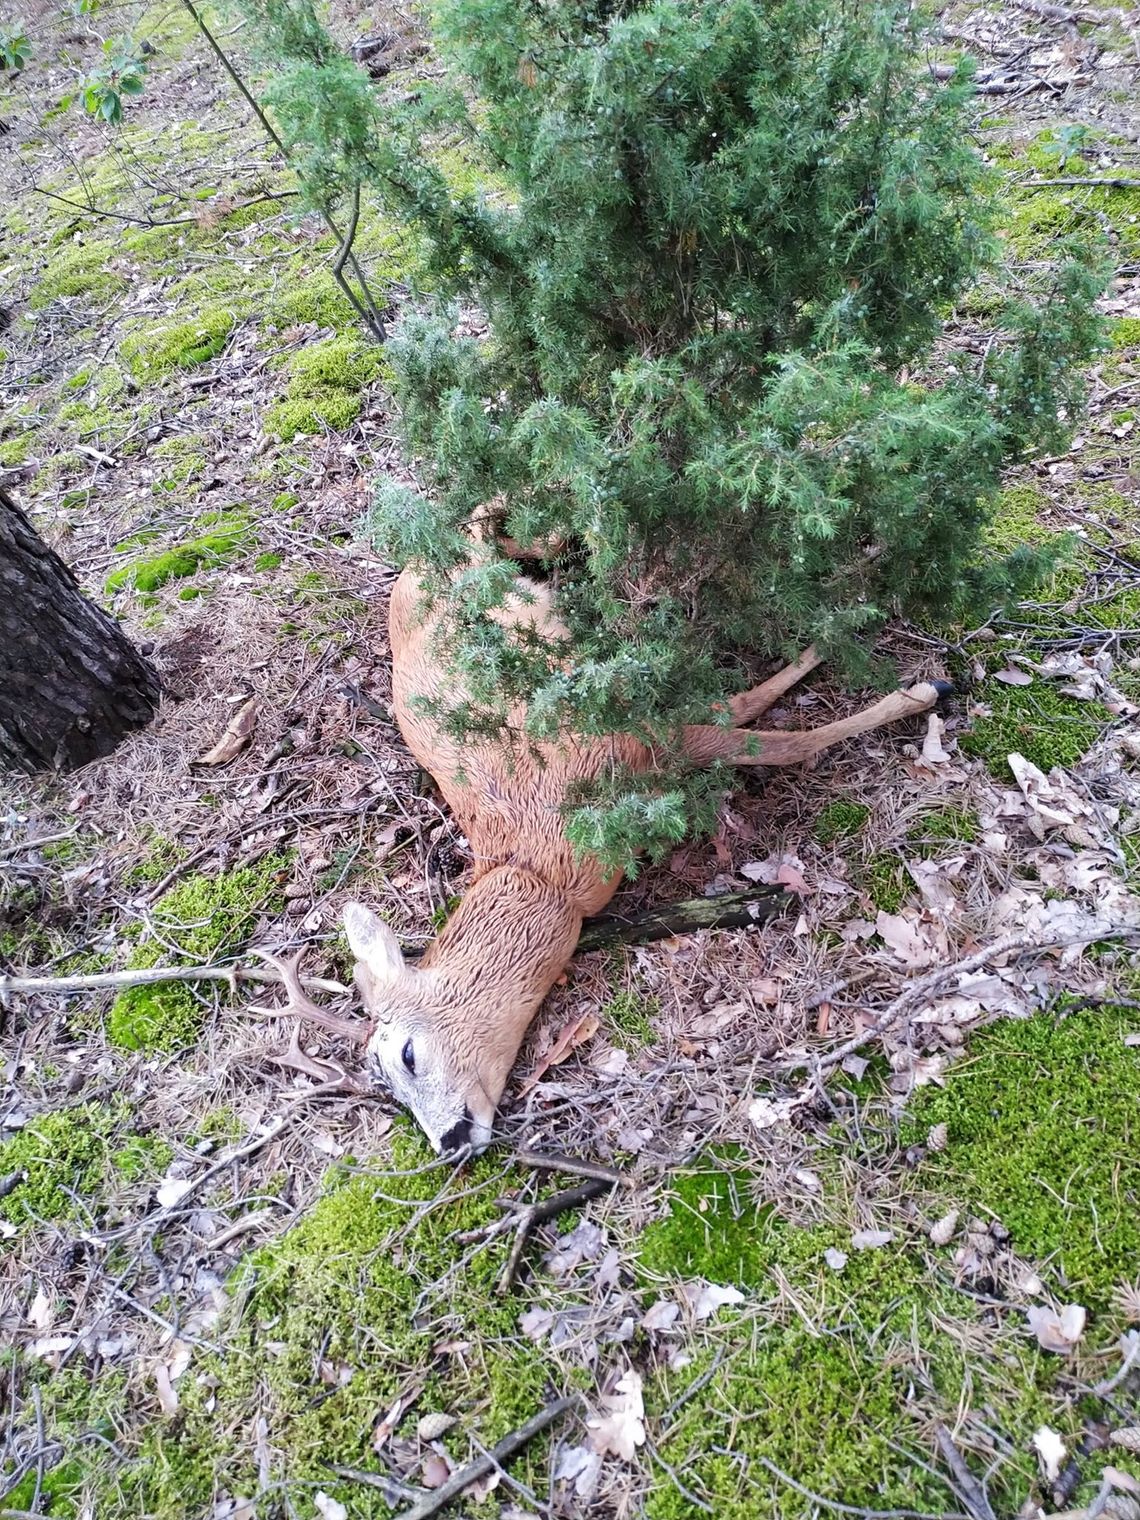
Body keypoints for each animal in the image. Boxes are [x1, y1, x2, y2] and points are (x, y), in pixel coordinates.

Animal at [261, 553, 948, 1155]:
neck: (540, 865)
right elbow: (752, 716)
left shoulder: (627, 744)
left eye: (406, 1054)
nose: (449, 1142)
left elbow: (785, 740)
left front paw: (918, 689)